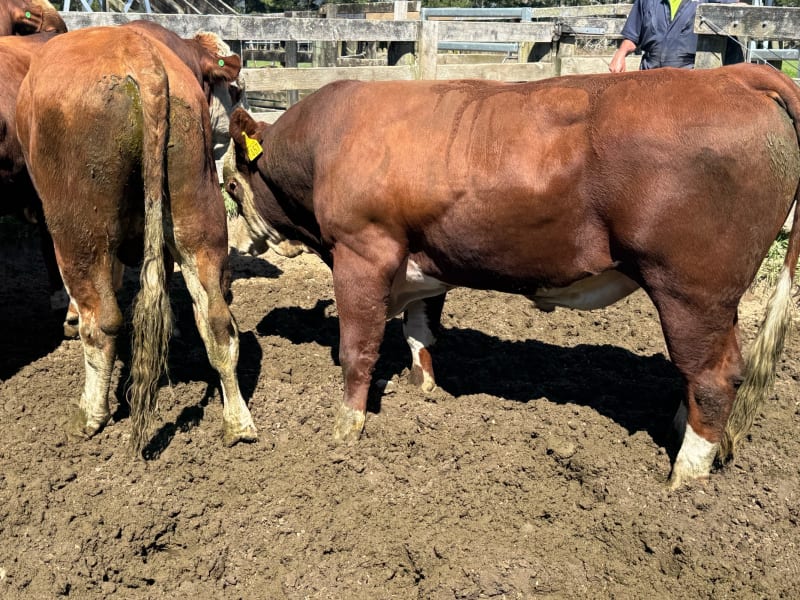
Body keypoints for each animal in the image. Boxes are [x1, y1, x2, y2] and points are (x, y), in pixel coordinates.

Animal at [16, 23, 258, 453]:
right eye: (237, 90)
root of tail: (140, 56)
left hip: (78, 230)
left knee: (102, 322)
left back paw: (89, 415)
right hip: (198, 215)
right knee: (216, 320)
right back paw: (238, 422)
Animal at [224, 64, 800, 489]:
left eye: (229, 185)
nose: (233, 251)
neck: (328, 142)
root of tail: (734, 74)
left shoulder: (362, 251)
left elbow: (357, 349)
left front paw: (345, 431)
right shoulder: (424, 257)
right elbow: (419, 330)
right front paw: (424, 387)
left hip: (690, 290)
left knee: (711, 376)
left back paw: (684, 478)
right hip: (712, 300)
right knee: (707, 372)